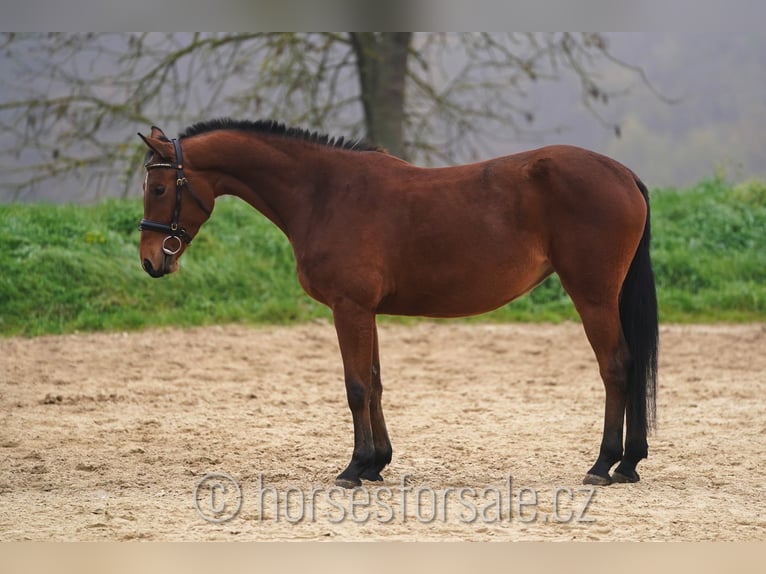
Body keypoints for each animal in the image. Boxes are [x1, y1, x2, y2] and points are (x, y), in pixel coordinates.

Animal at [140, 119, 660, 488]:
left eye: (160, 188)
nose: (150, 260)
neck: (325, 193)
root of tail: (625, 174)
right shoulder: (364, 312)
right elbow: (374, 383)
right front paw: (377, 464)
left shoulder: (348, 308)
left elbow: (355, 387)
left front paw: (354, 468)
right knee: (632, 366)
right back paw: (629, 463)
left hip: (593, 296)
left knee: (617, 367)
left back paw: (604, 463)